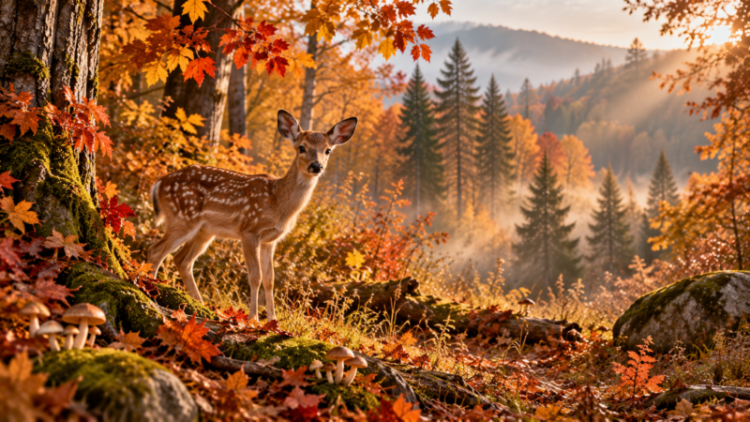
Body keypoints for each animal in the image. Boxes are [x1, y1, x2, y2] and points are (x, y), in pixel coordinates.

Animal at [146, 110, 358, 321]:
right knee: (156, 251)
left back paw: (201, 306)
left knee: (182, 260)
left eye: (328, 150)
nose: (316, 166)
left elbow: (270, 279)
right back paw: (150, 289)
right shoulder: (249, 230)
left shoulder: (270, 240)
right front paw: (253, 319)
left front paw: (273, 321)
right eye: (302, 147)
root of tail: (159, 183)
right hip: (182, 218)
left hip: (204, 231)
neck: (279, 204)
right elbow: (255, 276)